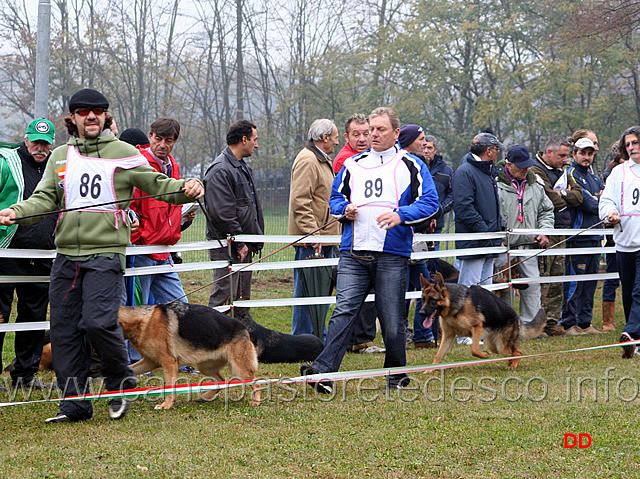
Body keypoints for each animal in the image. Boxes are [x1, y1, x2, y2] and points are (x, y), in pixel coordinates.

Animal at [117, 304, 260, 408]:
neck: (142, 320)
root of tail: (243, 327)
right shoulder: (150, 362)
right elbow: (131, 369)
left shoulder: (168, 362)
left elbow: (170, 385)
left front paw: (166, 405)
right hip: (205, 367)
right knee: (220, 381)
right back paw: (204, 397)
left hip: (240, 369)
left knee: (257, 383)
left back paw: (256, 401)